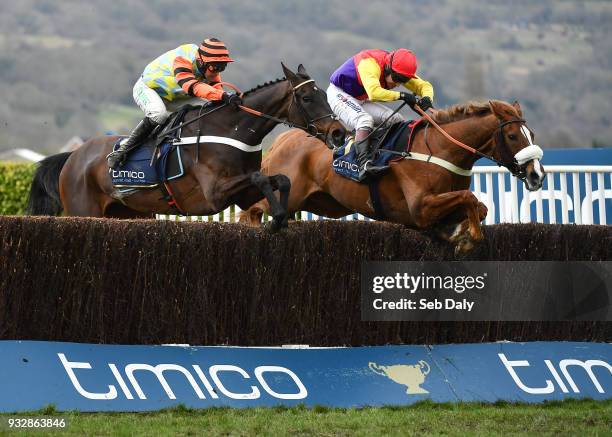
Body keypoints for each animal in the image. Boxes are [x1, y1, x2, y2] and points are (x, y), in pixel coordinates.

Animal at [27, 64, 344, 230]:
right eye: (307, 98)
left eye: (323, 95)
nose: (339, 132)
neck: (232, 129)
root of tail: (73, 156)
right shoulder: (215, 194)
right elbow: (259, 177)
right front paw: (277, 218)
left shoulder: (241, 194)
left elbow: (280, 179)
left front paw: (279, 218)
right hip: (83, 211)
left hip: (126, 213)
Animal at [239, 99, 544, 254]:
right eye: (513, 135)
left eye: (532, 134)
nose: (537, 175)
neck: (439, 149)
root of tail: (283, 139)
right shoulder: (420, 207)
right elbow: (469, 198)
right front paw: (469, 238)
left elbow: (480, 207)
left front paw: (458, 233)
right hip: (289, 193)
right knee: (252, 210)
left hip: (316, 201)